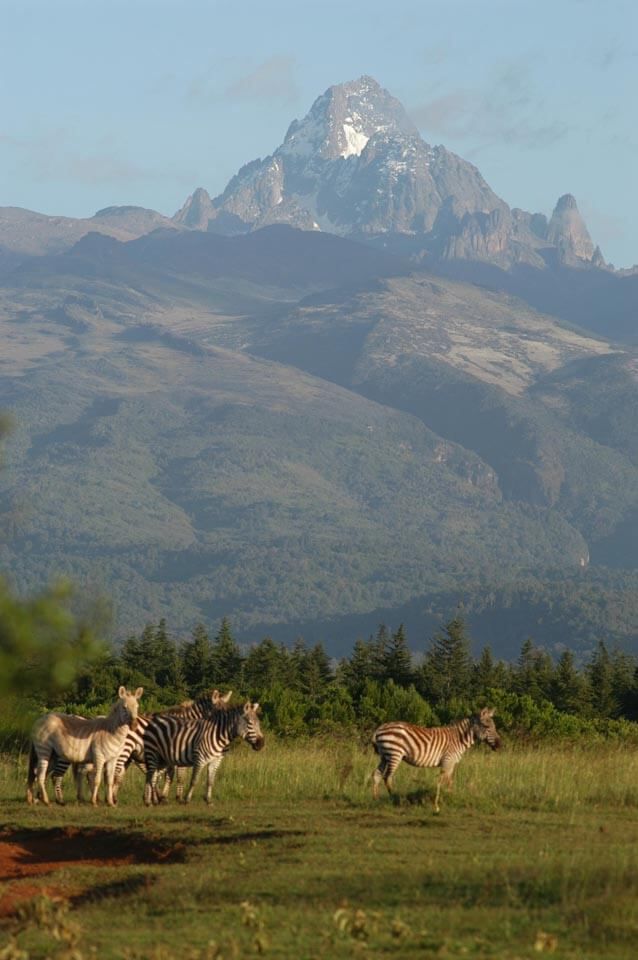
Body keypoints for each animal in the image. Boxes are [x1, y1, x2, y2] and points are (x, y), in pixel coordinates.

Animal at [372, 704, 502, 808]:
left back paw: (376, 799)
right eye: (487, 727)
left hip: (384, 756)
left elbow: (449, 781)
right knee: (387, 777)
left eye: (494, 727)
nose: (500, 745)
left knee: (377, 775)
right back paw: (395, 799)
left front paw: (449, 797)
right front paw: (440, 802)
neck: (458, 739)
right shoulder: (447, 760)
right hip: (394, 754)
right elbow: (443, 781)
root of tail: (379, 728)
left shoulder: (451, 763)